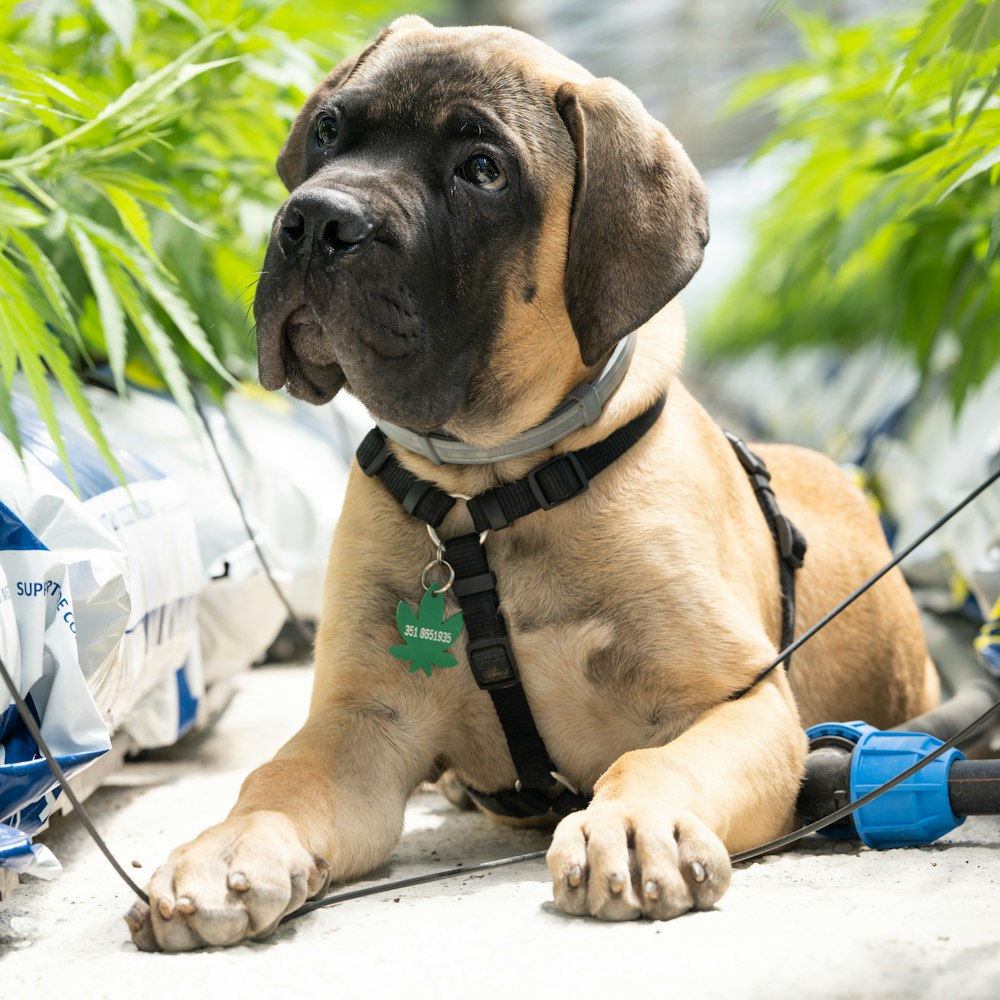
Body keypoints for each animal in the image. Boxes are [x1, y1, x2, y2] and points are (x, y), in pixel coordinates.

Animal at [125, 17, 936, 952]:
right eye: (328, 130)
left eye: (483, 169)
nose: (317, 221)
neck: (487, 491)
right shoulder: (361, 723)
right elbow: (281, 779)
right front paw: (228, 848)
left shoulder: (739, 700)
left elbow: (655, 757)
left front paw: (634, 822)